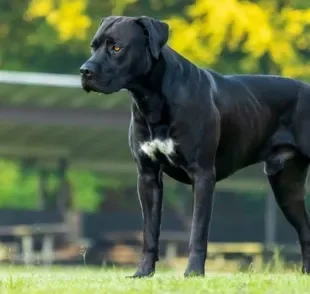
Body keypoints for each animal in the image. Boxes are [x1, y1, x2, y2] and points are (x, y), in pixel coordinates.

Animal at [80, 15, 310, 278]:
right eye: (93, 46)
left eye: (117, 47)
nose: (85, 70)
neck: (152, 100)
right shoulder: (147, 176)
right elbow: (150, 232)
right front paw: (143, 272)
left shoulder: (202, 175)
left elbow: (197, 232)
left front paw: (193, 272)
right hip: (286, 188)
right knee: (305, 230)